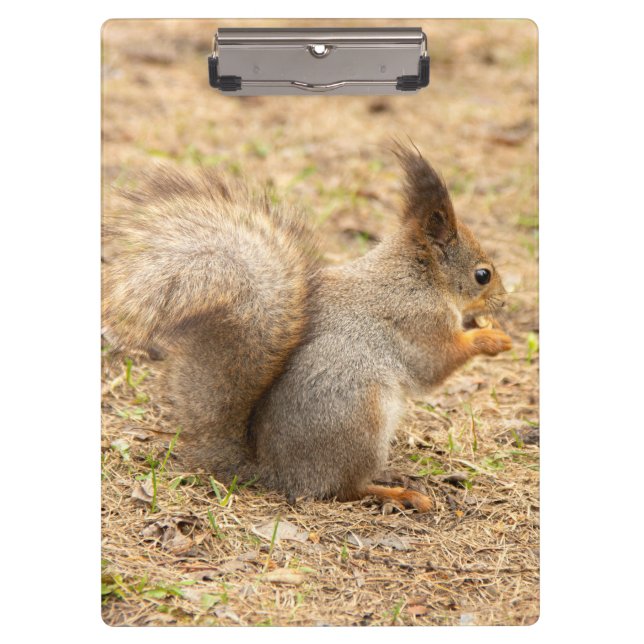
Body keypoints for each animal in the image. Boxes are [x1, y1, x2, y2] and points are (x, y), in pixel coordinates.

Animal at [102, 144, 512, 512]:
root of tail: (276, 473)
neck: (419, 276)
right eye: (482, 275)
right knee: (343, 489)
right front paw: (491, 338)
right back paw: (397, 493)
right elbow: (436, 364)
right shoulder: (418, 320)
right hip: (359, 419)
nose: (504, 302)